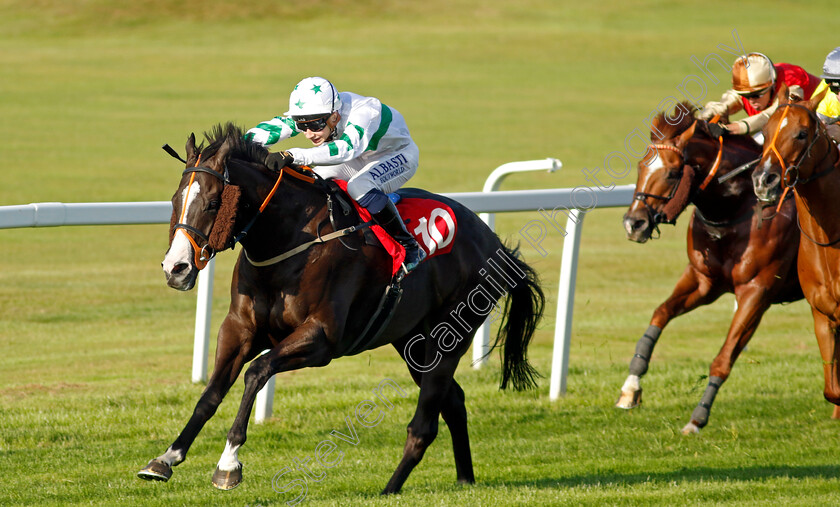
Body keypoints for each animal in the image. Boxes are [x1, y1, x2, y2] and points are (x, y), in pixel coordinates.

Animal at [138, 124, 544, 496]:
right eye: (174, 200)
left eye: (211, 203)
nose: (176, 269)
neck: (289, 240)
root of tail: (492, 241)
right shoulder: (239, 329)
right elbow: (211, 393)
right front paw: (166, 458)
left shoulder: (321, 340)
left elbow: (256, 373)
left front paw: (228, 463)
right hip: (414, 341)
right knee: (454, 401)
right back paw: (464, 479)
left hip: (451, 335)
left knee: (424, 425)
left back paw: (390, 489)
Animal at [616, 105, 800, 434]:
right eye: (640, 167)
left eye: (672, 173)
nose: (633, 224)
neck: (738, 209)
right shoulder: (703, 280)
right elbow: (659, 315)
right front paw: (630, 388)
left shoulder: (757, 292)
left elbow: (724, 358)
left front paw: (697, 417)